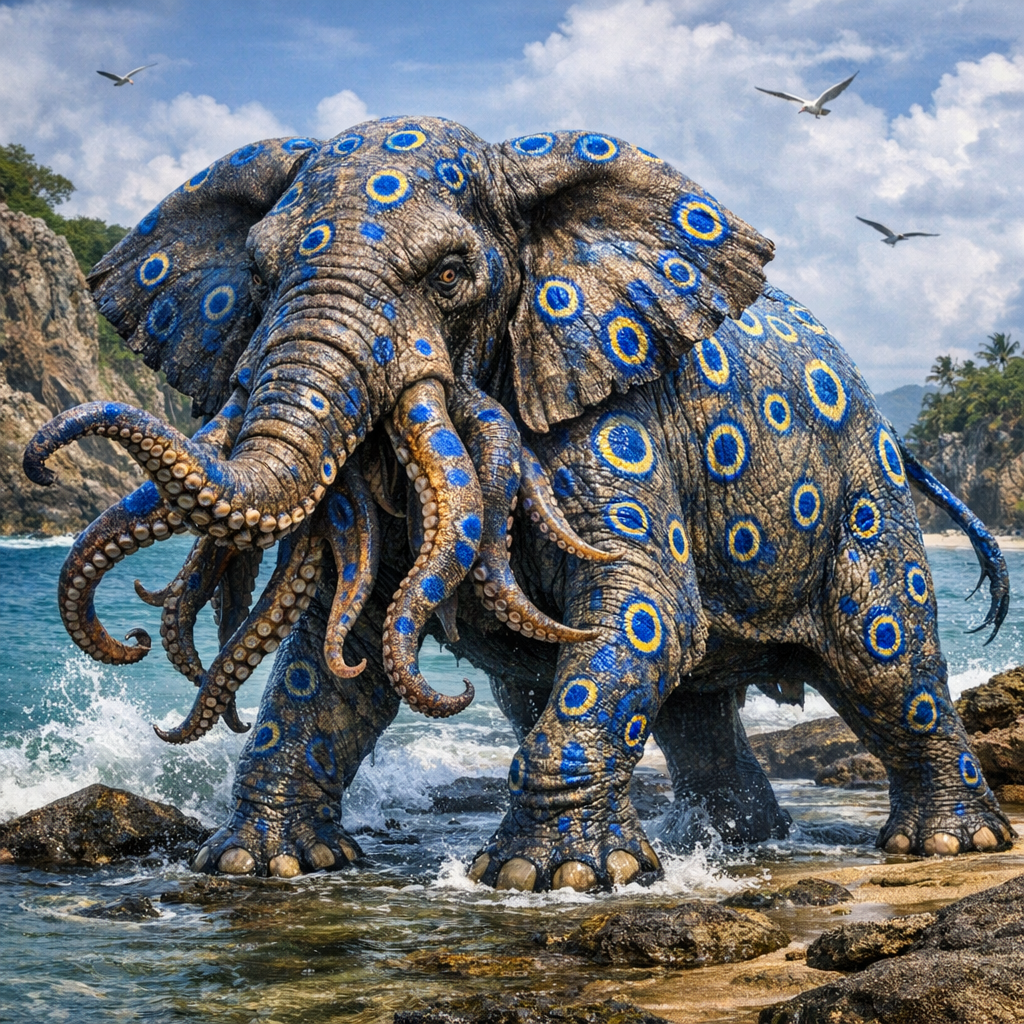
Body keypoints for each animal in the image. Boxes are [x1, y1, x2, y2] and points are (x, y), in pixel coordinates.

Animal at [24, 117, 1015, 892]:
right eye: (260, 273)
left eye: (452, 273)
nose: (38, 458)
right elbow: (339, 650)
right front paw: (258, 864)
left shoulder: (617, 417)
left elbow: (643, 607)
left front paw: (552, 878)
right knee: (696, 706)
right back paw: (733, 845)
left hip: (865, 499)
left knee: (886, 662)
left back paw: (948, 844)